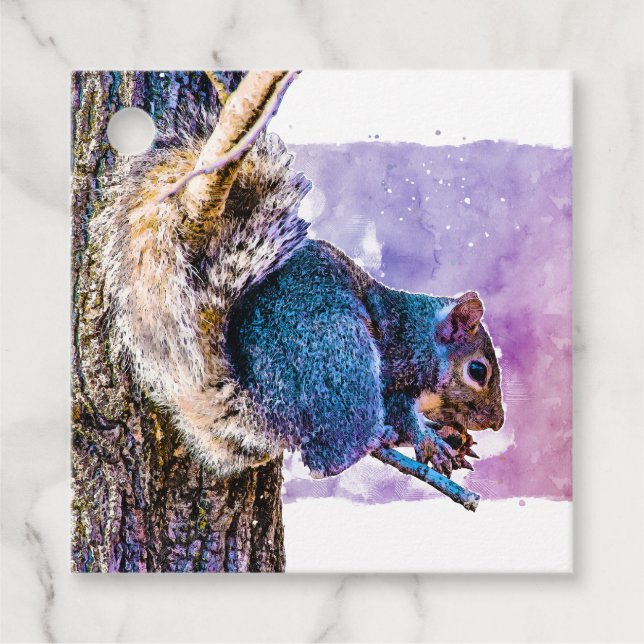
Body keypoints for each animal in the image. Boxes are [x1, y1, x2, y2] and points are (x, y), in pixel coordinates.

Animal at [93, 83, 504, 481]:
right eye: (478, 371)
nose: (497, 422)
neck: (421, 337)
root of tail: (265, 413)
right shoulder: (398, 365)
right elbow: (403, 414)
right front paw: (429, 440)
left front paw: (452, 436)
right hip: (340, 357)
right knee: (327, 458)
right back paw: (369, 441)